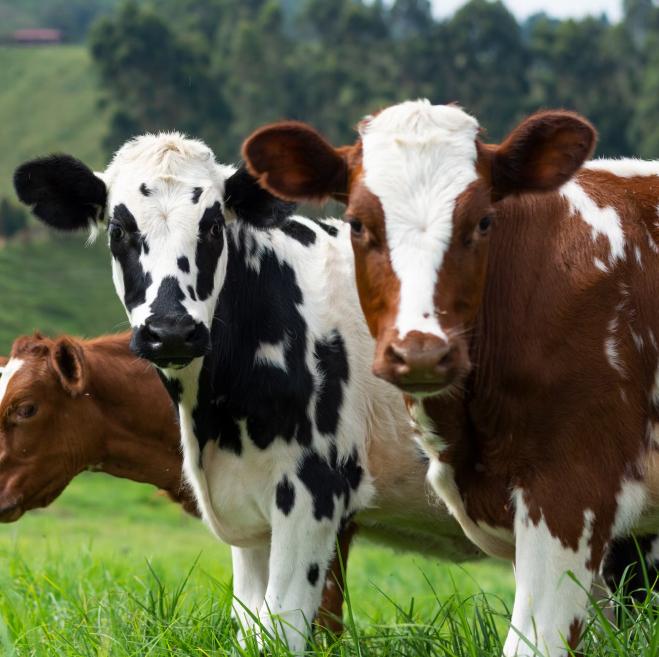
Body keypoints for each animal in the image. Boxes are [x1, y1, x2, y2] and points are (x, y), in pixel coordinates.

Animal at [14, 136, 483, 652]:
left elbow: (285, 629)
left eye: (214, 224)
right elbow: (250, 627)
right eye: (119, 229)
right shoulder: (251, 519)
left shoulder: (316, 496)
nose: (171, 331)